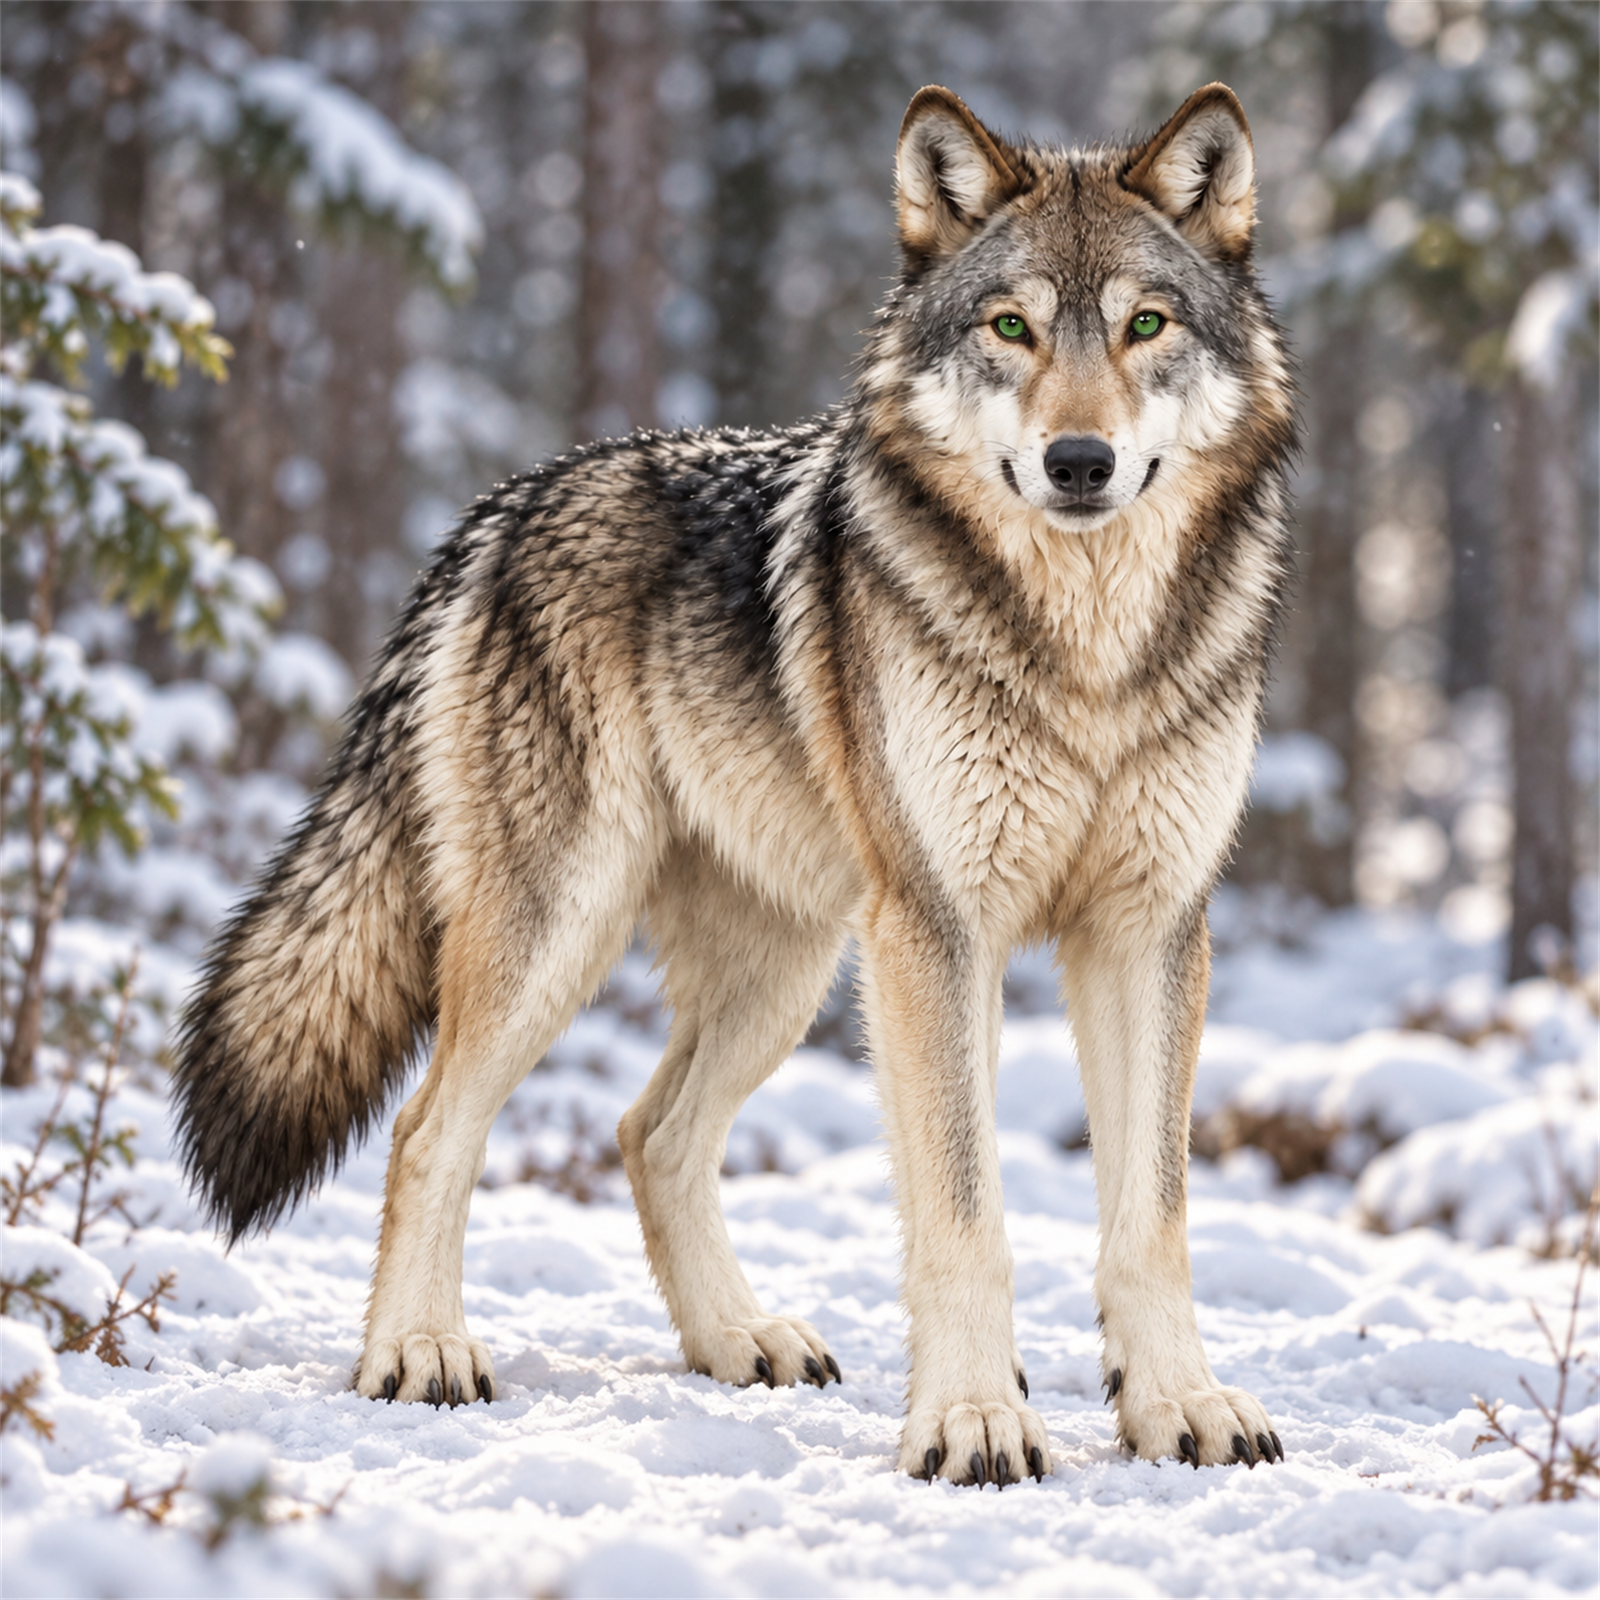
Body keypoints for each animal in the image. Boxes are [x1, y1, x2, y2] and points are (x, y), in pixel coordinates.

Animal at [174, 82, 1295, 1484]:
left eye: (1146, 324)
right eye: (1010, 326)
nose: (1079, 461)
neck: (1086, 657)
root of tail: (505, 505)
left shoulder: (1146, 932)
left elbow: (1150, 1218)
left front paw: (1177, 1405)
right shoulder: (938, 930)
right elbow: (964, 1212)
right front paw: (972, 1420)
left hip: (791, 968)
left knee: (647, 1133)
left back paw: (735, 1340)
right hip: (569, 933)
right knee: (431, 1128)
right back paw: (418, 1353)